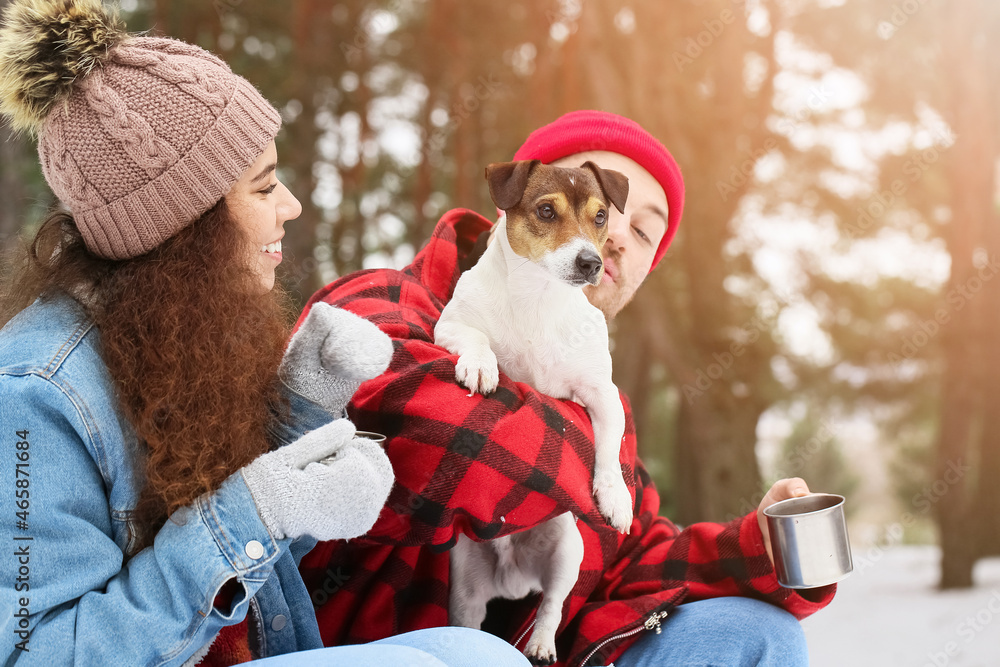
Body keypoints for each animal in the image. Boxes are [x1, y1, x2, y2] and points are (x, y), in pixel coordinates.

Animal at [440, 159, 632, 664]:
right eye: (547, 211)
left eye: (600, 216)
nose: (591, 263)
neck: (538, 299)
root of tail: (513, 578)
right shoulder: (451, 325)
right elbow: (476, 339)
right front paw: (482, 365)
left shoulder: (602, 394)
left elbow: (610, 451)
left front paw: (616, 499)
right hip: (463, 583)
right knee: (469, 623)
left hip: (568, 553)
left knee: (551, 606)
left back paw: (543, 644)